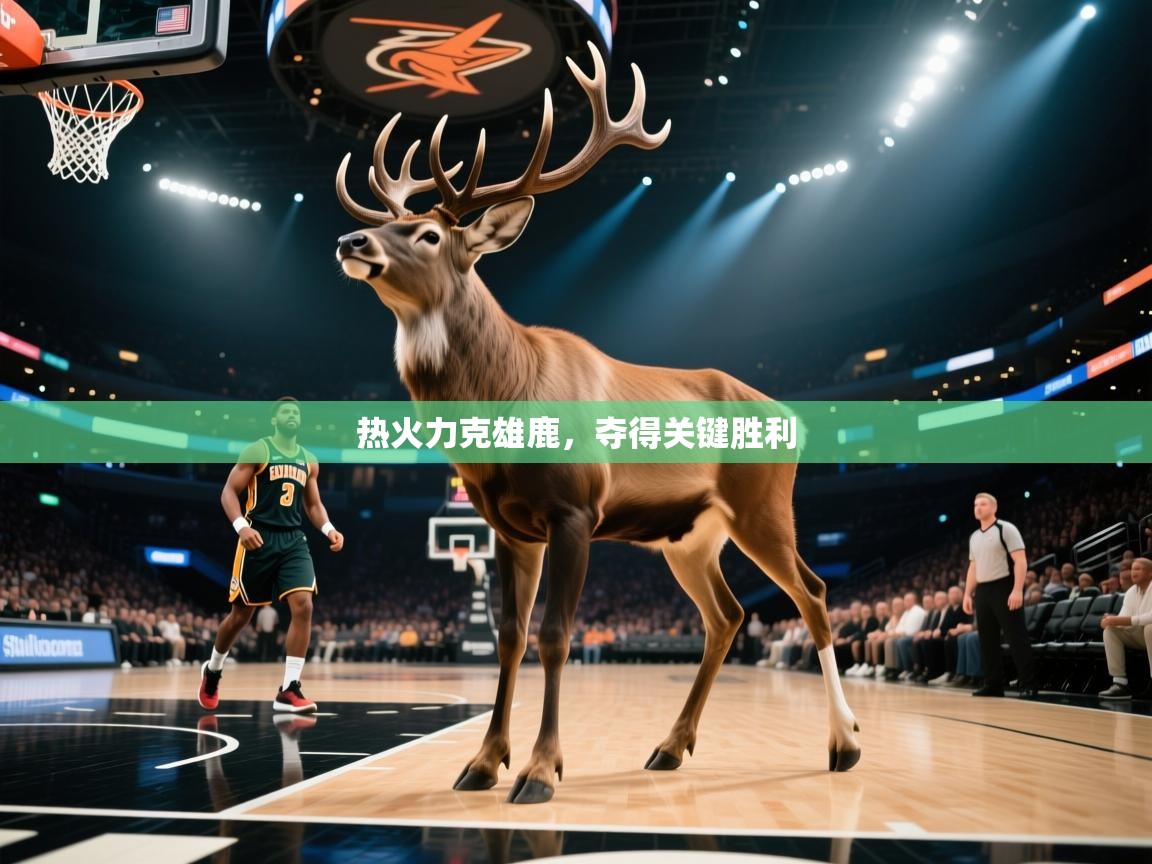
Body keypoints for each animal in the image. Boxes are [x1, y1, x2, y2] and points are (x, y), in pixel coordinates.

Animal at [334, 43, 860, 805]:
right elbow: (510, 634)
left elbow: (555, 633)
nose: (351, 240)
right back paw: (669, 747)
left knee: (813, 595)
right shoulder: (509, 526)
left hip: (763, 503)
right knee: (727, 614)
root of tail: (788, 417)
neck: (510, 392)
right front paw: (483, 762)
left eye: (429, 233)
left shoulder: (575, 507)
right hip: (689, 538)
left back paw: (844, 744)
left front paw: (541, 770)